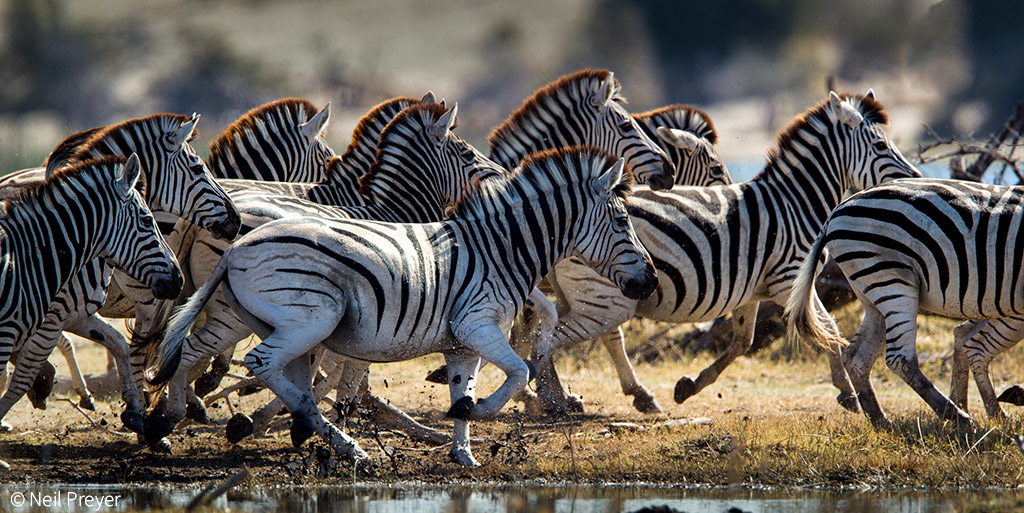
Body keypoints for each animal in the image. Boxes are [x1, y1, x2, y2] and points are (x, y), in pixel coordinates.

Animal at [0, 154, 181, 407]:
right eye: (147, 220)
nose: (179, 279)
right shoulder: (40, 323)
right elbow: (21, 379)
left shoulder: (75, 315)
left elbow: (118, 342)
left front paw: (133, 406)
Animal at [144, 146, 655, 466]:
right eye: (622, 220)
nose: (649, 281)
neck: (500, 249)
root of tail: (236, 245)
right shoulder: (477, 325)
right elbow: (519, 372)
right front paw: (481, 413)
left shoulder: (461, 342)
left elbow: (463, 387)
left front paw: (464, 450)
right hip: (311, 317)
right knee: (263, 364)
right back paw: (342, 443)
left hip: (242, 315)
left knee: (194, 352)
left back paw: (165, 421)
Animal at [528, 90, 921, 413]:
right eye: (882, 147)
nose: (916, 178)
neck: (793, 203)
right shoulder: (789, 279)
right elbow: (826, 328)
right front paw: (847, 393)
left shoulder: (752, 291)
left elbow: (743, 343)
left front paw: (689, 386)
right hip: (607, 301)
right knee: (546, 341)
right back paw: (552, 401)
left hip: (583, 296)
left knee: (540, 333)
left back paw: (555, 399)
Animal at [782, 176, 1024, 423]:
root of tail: (836, 211)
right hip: (893, 280)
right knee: (902, 359)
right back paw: (960, 416)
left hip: (871, 292)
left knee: (857, 357)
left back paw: (881, 421)